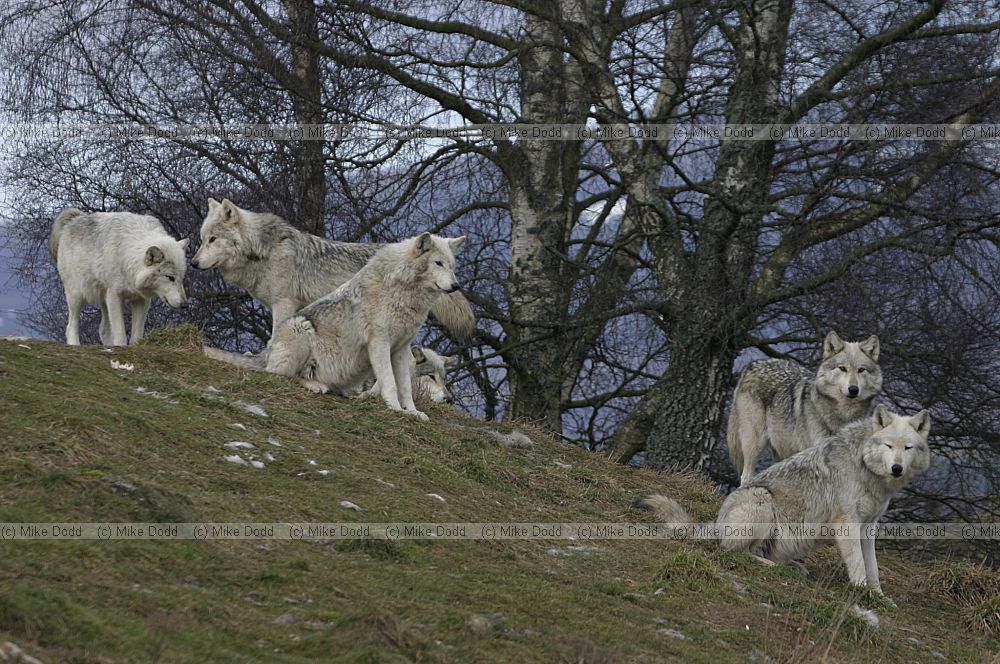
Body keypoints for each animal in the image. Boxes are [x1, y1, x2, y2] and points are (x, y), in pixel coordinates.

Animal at [49, 208, 189, 346]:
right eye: (170, 277)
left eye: (181, 277)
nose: (185, 305)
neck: (126, 256)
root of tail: (74, 219)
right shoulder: (114, 296)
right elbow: (121, 334)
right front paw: (120, 346)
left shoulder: (141, 299)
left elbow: (136, 334)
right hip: (78, 296)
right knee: (70, 326)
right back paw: (75, 344)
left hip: (103, 300)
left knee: (103, 330)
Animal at [203, 232, 465, 420]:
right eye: (438, 263)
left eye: (452, 266)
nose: (456, 286)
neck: (405, 292)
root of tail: (264, 353)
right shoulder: (379, 343)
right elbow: (390, 384)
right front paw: (395, 410)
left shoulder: (401, 348)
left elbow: (405, 387)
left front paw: (412, 413)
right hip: (300, 327)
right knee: (278, 375)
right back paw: (315, 385)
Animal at [640, 406, 931, 599]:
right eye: (888, 446)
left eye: (907, 448)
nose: (896, 469)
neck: (865, 466)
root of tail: (717, 520)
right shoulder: (847, 524)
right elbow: (858, 564)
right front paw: (861, 594)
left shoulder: (868, 527)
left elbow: (873, 567)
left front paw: (879, 598)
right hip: (762, 500)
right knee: (734, 551)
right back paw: (775, 567)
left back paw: (794, 567)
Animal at [728, 331, 882, 486]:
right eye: (842, 368)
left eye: (861, 370)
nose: (853, 389)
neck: (844, 415)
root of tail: (752, 365)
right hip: (755, 445)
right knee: (746, 476)